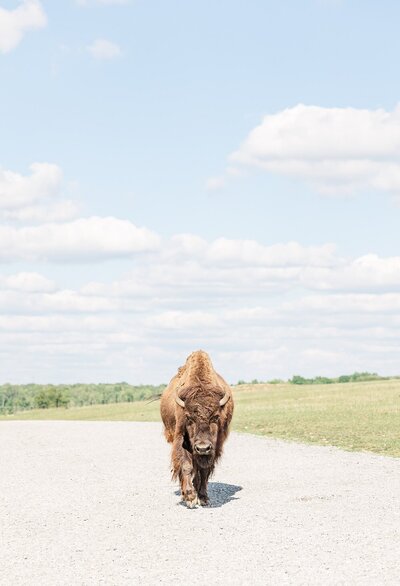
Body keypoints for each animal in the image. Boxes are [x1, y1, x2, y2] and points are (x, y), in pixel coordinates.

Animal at [160, 350, 233, 504]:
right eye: (189, 417)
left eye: (216, 416)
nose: (202, 448)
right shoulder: (181, 439)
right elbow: (186, 465)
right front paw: (190, 498)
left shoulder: (215, 445)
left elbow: (205, 469)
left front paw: (203, 497)